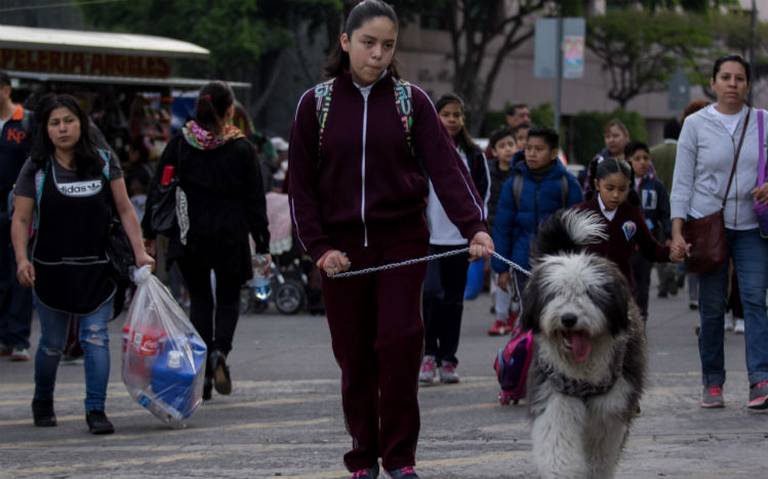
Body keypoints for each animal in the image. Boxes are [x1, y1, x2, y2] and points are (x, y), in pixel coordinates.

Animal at [524, 210, 644, 479]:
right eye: (556, 293)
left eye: (589, 293)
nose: (569, 318)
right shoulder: (555, 394)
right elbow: (557, 441)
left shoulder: (611, 406)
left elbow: (600, 450)